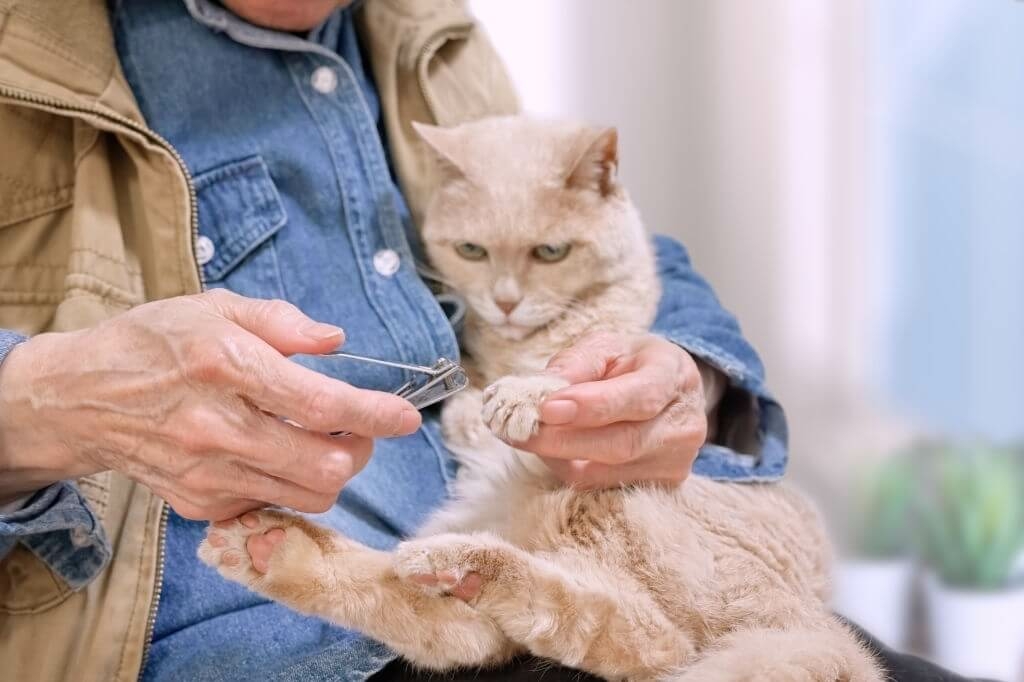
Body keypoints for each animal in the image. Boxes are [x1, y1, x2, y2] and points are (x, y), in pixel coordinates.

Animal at [197, 116, 880, 679]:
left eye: (550, 252)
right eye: (471, 251)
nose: (505, 301)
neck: (518, 342)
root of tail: (810, 616)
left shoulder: (612, 344)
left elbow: (566, 373)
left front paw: (518, 396)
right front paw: (477, 404)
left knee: (644, 639)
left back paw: (460, 564)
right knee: (479, 626)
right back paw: (275, 551)